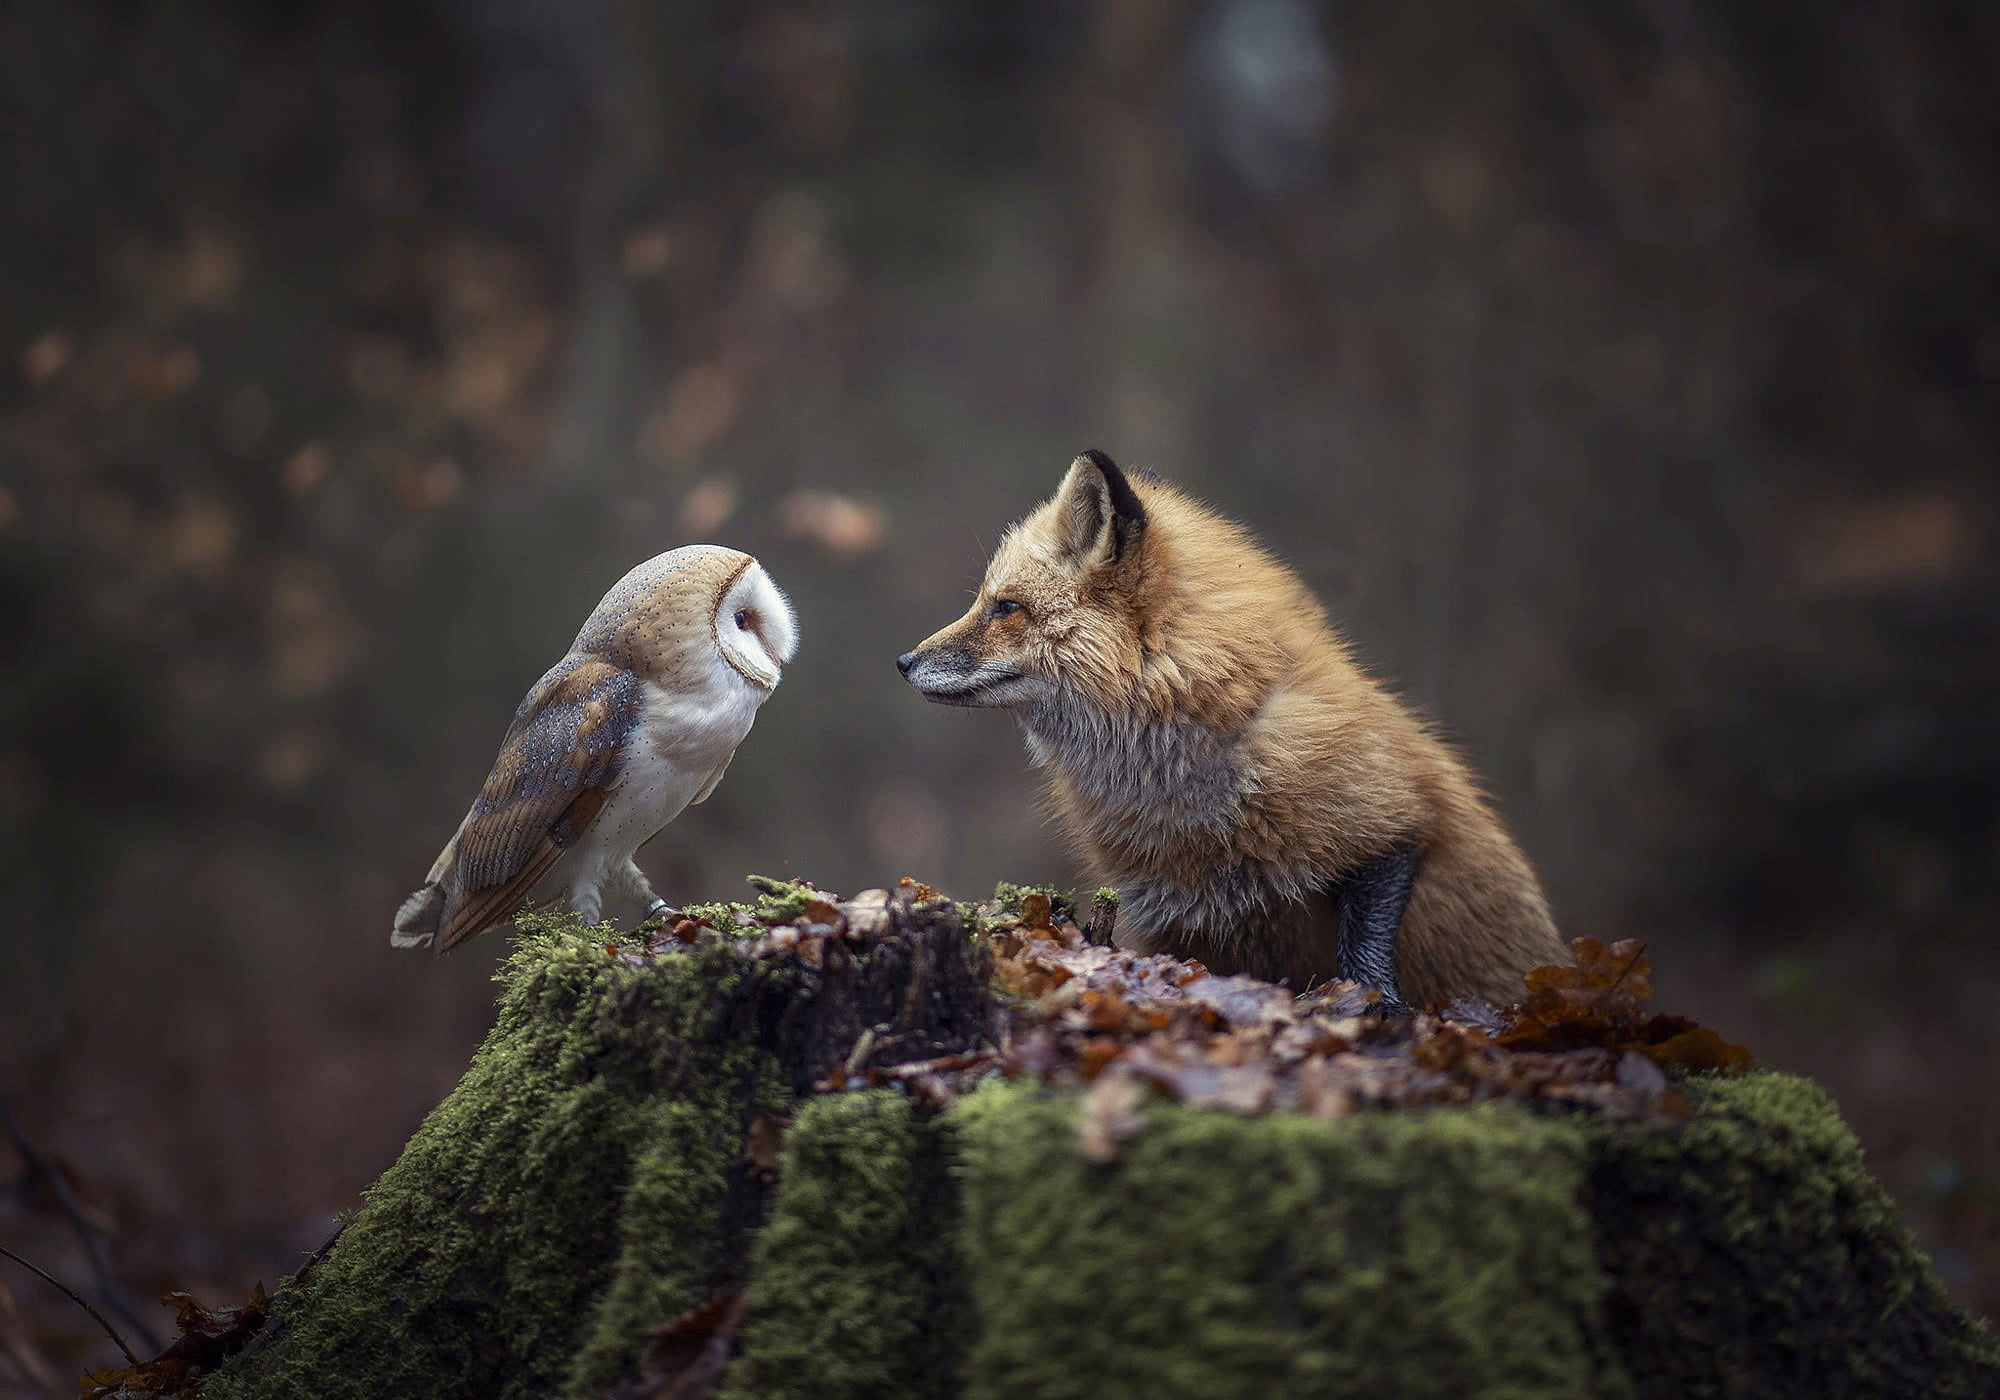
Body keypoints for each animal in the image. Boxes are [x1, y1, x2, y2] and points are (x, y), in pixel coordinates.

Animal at [897, 450, 1570, 1009]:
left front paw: (1379, 1009)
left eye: (1006, 608)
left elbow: (1363, 959)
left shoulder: (1391, 824)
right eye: (988, 602)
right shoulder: (1177, 921)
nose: (903, 662)